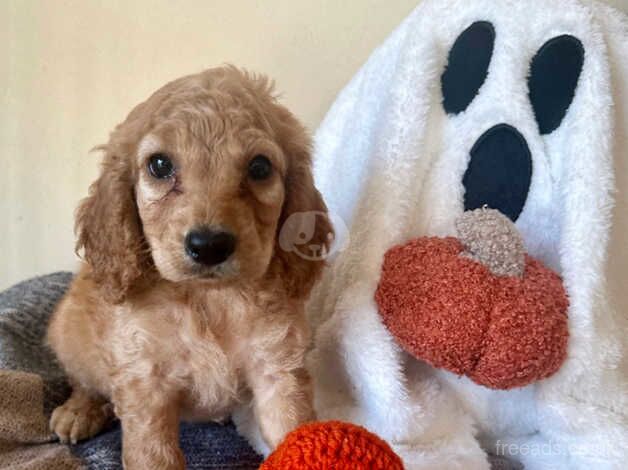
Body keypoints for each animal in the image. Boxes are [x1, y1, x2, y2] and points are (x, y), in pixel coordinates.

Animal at [47, 66, 334, 470]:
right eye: (160, 165)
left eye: (260, 167)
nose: (209, 246)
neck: (209, 301)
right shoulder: (145, 384)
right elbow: (154, 457)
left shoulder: (278, 368)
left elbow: (295, 431)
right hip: (69, 333)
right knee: (83, 380)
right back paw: (78, 411)